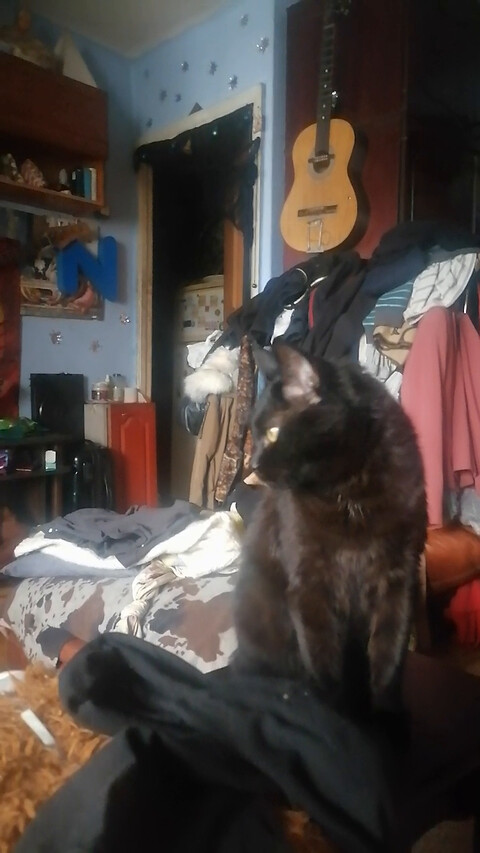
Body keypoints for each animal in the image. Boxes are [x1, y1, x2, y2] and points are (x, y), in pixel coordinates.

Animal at [233, 342, 427, 724]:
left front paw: (386, 716)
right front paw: (334, 717)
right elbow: (323, 655)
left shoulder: (399, 577)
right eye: (254, 434)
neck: (349, 493)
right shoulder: (309, 582)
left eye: (273, 432)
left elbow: (390, 652)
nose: (254, 465)